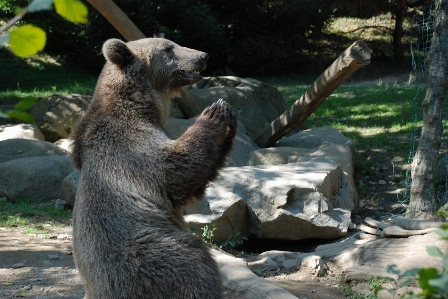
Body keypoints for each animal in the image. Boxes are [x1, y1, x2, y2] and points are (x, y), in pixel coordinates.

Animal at [71, 38, 238, 299]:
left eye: (173, 44)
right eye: (168, 48)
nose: (203, 55)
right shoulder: (128, 149)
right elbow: (174, 171)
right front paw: (215, 111)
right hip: (149, 252)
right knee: (193, 265)